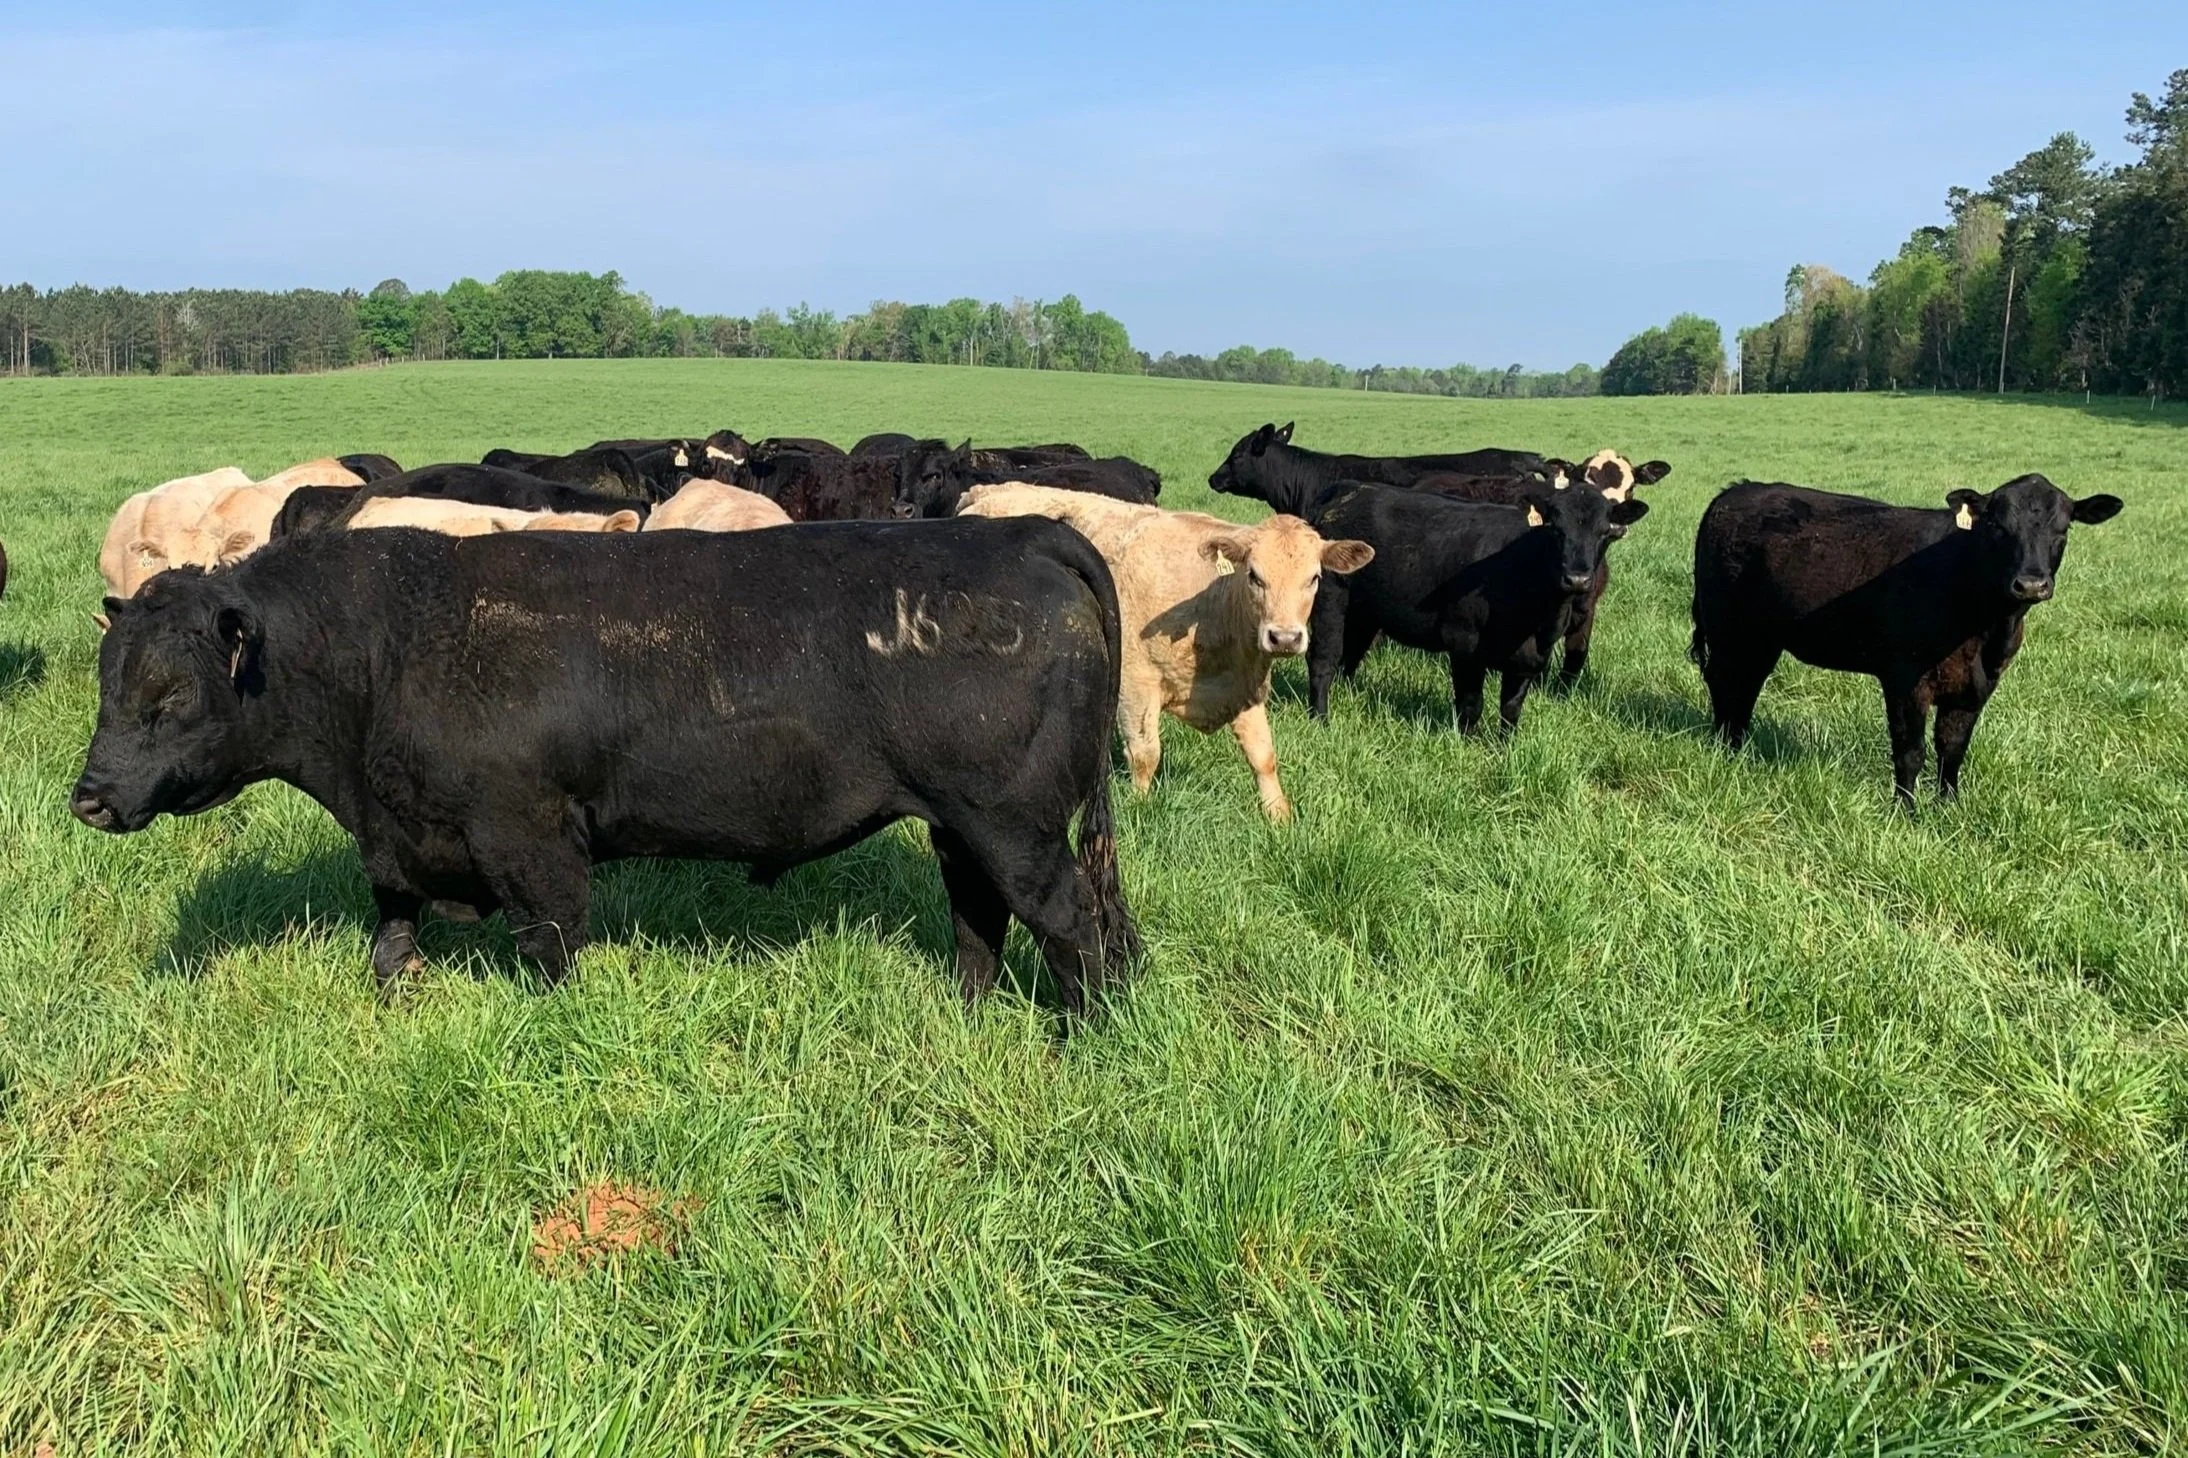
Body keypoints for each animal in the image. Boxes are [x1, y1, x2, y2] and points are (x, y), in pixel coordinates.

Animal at [70, 519, 1140, 1013]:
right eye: (107, 685)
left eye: (169, 697)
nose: (89, 799)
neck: (388, 649)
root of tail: (1022, 533)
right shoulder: (399, 840)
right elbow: (392, 931)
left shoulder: (528, 838)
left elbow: (549, 947)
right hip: (962, 822)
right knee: (978, 915)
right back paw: (968, 1011)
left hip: (1016, 822)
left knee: (1069, 922)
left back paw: (1078, 1035)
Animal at [960, 484, 1371, 821]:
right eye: (1254, 576)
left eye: (1314, 578)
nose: (1284, 637)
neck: (1213, 605)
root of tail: (986, 492)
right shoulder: (1135, 683)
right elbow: (1146, 755)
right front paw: (1140, 809)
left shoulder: (1244, 688)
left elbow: (1263, 756)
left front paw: (1279, 817)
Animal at [1305, 483, 1647, 733]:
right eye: (1555, 529)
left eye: (1605, 532)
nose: (1577, 579)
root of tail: (1349, 492)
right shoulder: (1464, 643)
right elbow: (1471, 704)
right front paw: (1467, 743)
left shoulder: (1530, 657)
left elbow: (1511, 708)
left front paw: (1505, 748)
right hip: (1330, 599)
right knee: (1324, 660)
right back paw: (1321, 720)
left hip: (1365, 613)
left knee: (1351, 657)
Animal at [1690, 476, 2122, 805]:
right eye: (1998, 527)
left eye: (2063, 529)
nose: (2031, 584)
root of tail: (1736, 491)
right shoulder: (1906, 677)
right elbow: (1910, 751)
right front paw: (1906, 811)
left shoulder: (1978, 685)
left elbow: (1953, 749)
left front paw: (1949, 807)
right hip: (1728, 625)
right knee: (1724, 681)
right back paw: (1724, 746)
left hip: (1763, 637)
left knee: (1747, 685)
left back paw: (1738, 745)